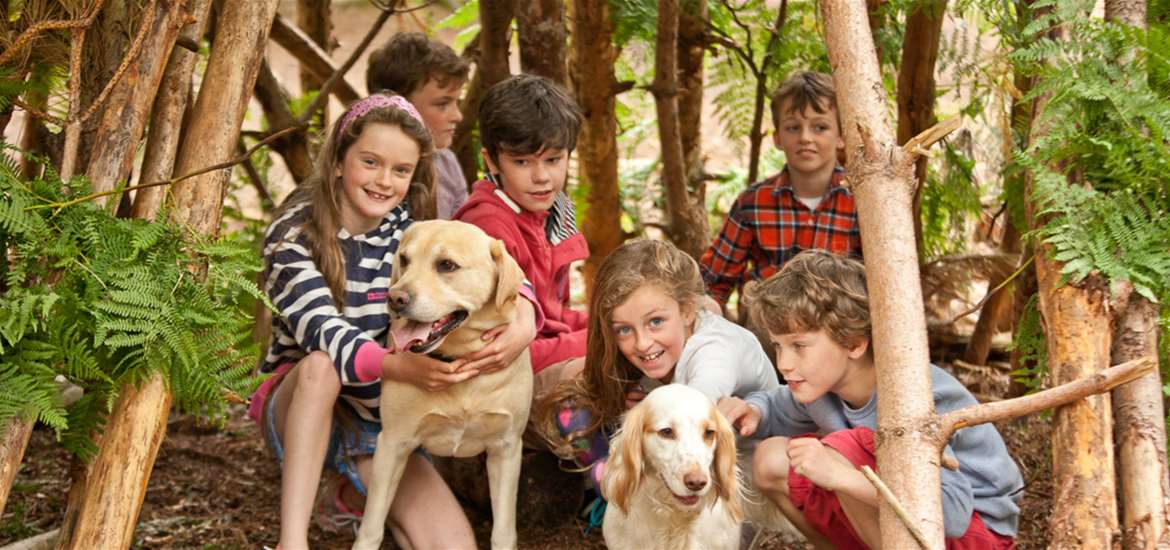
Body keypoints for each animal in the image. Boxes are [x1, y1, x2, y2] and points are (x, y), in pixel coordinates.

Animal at [351, 221, 535, 550]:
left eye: (446, 265)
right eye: (405, 260)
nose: (395, 298)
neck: (458, 360)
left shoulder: (507, 448)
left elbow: (503, 530)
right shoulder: (392, 444)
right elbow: (372, 526)